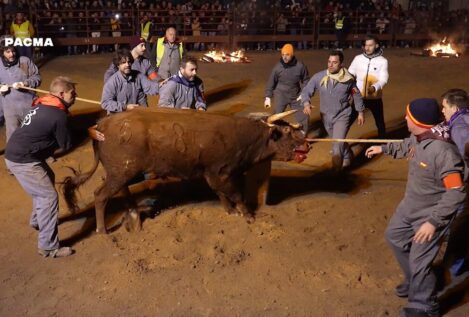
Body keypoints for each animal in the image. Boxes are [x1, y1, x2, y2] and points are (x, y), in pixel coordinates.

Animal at [64, 107, 308, 233]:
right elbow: (236, 194)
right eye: (287, 132)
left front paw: (230, 211)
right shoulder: (220, 172)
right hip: (120, 172)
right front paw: (247, 215)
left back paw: (134, 214)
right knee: (100, 195)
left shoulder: (215, 174)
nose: (307, 144)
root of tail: (100, 126)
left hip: (122, 173)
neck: (243, 136)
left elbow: (222, 194)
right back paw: (103, 230)